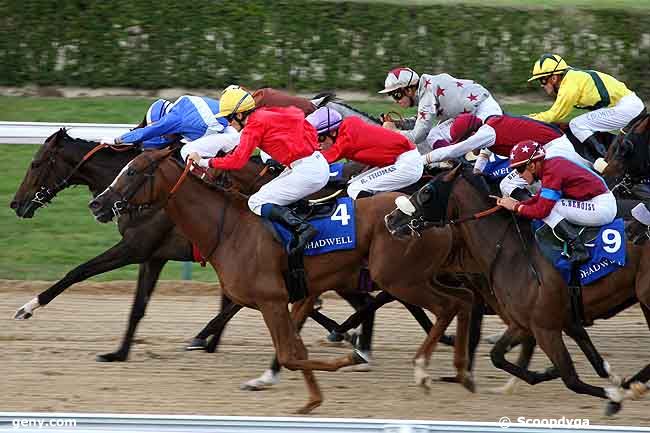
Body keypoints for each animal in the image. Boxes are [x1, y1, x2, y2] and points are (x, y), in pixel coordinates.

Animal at [87, 148, 476, 412]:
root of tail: (432, 218)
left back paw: (423, 369)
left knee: (447, 305)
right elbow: (294, 350)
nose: (97, 204)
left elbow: (290, 354)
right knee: (464, 299)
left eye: (133, 170)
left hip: (398, 277)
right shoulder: (294, 296)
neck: (230, 229)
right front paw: (303, 394)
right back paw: (463, 373)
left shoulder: (271, 299)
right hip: (416, 276)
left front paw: (341, 367)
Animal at [382, 164, 648, 414]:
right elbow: (498, 356)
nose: (391, 219)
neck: (513, 252)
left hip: (645, 297)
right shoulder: (527, 323)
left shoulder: (545, 327)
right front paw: (547, 373)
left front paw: (615, 394)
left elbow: (571, 379)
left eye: (426, 192)